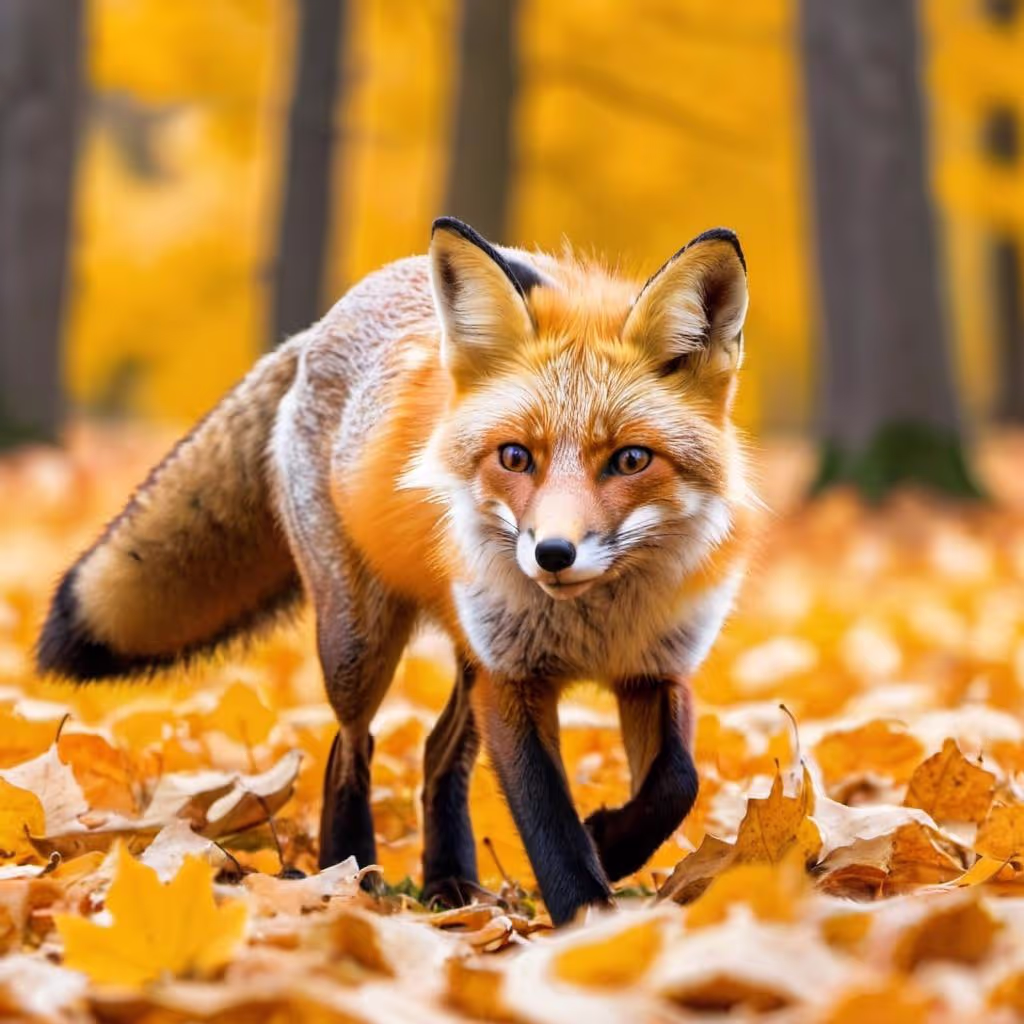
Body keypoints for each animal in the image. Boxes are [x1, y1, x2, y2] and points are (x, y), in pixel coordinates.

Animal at [37, 217, 757, 925]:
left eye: (631, 460)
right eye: (515, 457)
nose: (553, 554)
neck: (594, 623)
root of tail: (323, 324)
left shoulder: (654, 668)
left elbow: (678, 783)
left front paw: (612, 844)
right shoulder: (512, 678)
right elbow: (548, 820)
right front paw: (587, 917)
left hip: (465, 656)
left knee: (439, 754)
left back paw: (450, 883)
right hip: (360, 646)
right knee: (349, 750)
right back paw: (349, 876)